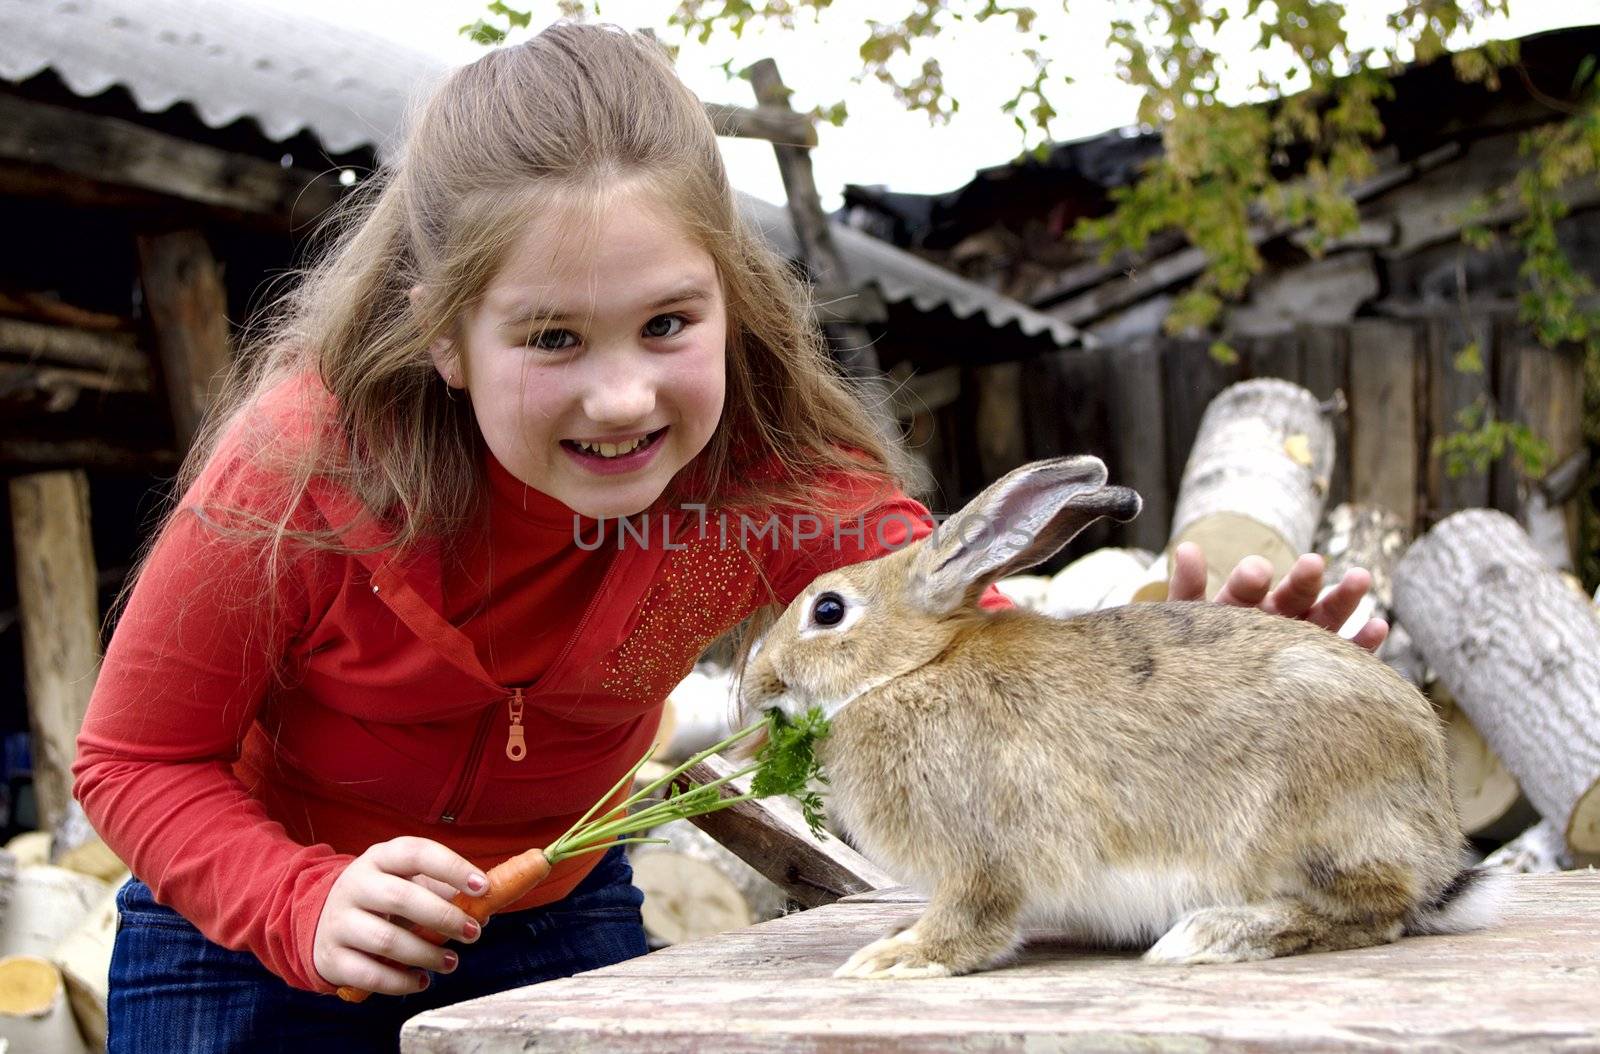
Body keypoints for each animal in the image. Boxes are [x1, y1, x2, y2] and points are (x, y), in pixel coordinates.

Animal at [736, 454, 1497, 978]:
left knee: (1375, 912)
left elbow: (970, 923)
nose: (755, 683)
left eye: (827, 611)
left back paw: (1212, 935)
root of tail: (1437, 838)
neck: (913, 668)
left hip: (1299, 829)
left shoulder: (980, 861)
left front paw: (894, 958)